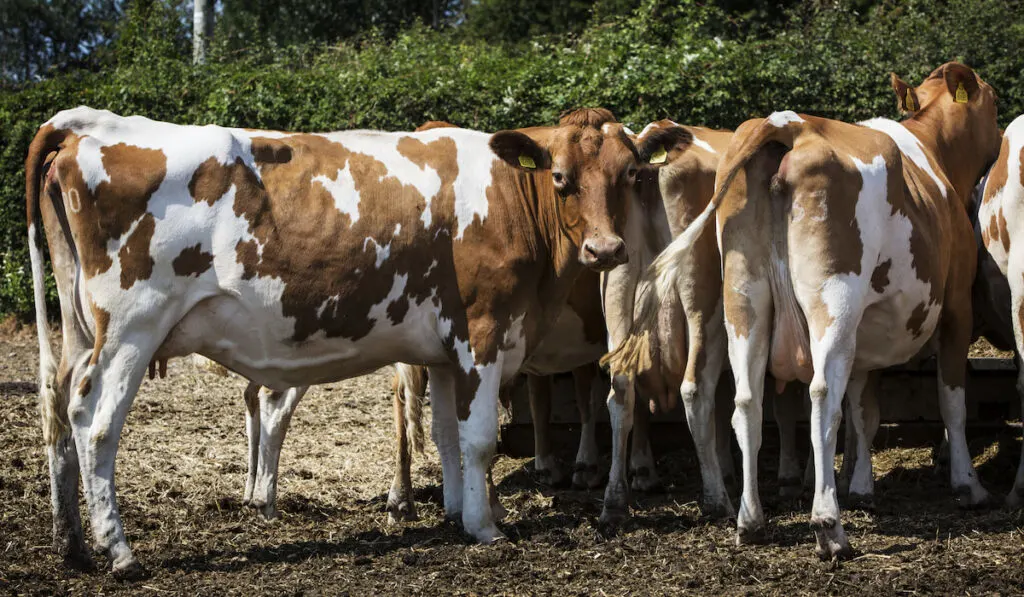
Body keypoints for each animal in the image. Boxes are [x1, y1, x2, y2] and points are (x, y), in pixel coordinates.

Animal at [28, 106, 688, 573]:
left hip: (82, 332)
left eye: (630, 174)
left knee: (60, 410)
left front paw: (456, 513)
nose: (606, 250)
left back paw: (72, 545)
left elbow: (447, 438)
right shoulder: (484, 334)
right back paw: (118, 552)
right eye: (561, 178)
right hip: (132, 328)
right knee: (96, 423)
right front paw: (485, 528)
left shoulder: (441, 351)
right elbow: (479, 442)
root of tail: (88, 122)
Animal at [606, 62, 999, 557]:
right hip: (832, 300)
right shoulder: (956, 308)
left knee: (743, 400)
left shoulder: (867, 336)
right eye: (994, 103)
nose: (1000, 139)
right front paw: (968, 485)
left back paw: (748, 520)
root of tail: (785, 124)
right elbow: (950, 402)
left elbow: (864, 411)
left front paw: (862, 486)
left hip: (741, 300)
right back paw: (827, 525)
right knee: (821, 397)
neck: (935, 155)